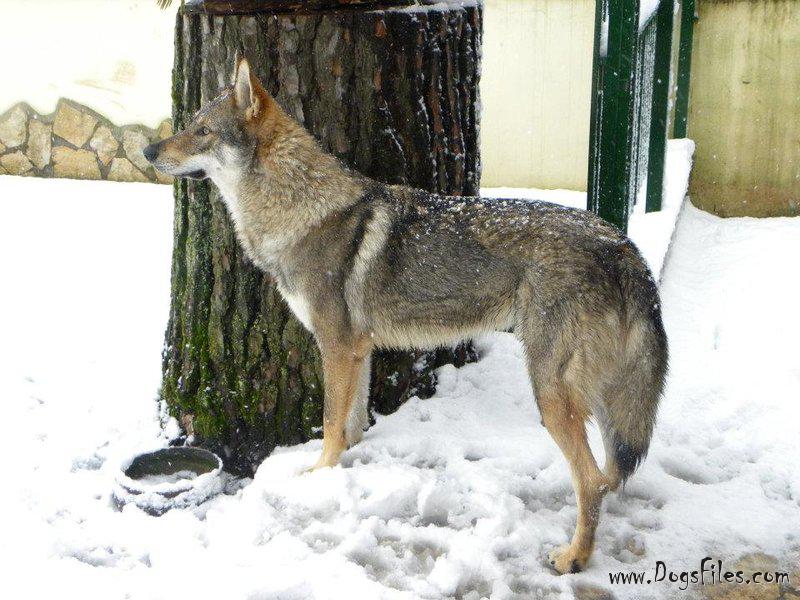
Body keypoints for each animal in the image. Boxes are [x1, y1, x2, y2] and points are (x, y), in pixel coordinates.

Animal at [144, 57, 668, 574]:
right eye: (190, 125)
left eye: (202, 130)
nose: (148, 150)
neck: (299, 210)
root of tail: (622, 246)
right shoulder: (359, 350)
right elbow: (351, 425)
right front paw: (347, 471)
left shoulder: (336, 346)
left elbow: (330, 423)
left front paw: (317, 476)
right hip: (596, 395)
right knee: (607, 473)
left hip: (552, 393)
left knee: (593, 480)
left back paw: (573, 557)